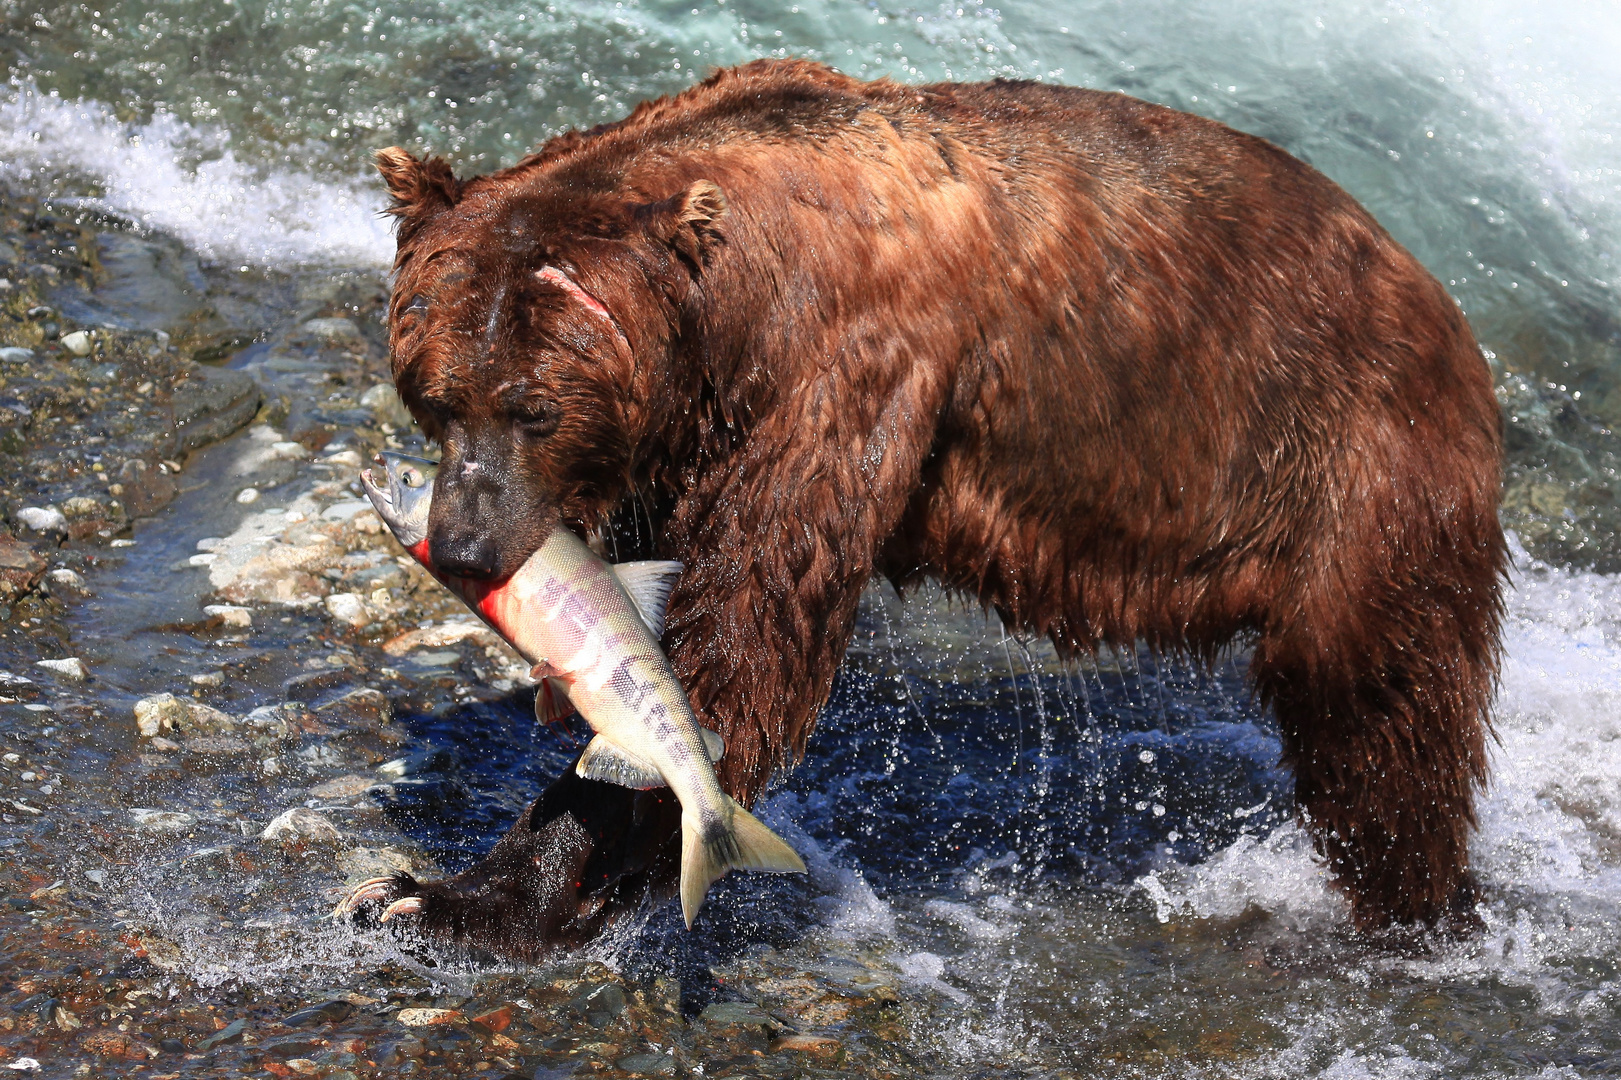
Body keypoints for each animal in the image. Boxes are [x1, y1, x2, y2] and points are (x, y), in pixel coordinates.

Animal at [348, 58, 1510, 953]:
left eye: (533, 408)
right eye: (433, 397)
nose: (462, 545)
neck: (728, 318)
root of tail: (1449, 311)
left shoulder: (844, 379)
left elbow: (734, 655)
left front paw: (457, 897)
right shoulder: (684, 443)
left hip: (1360, 481)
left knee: (1383, 725)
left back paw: (1417, 910)